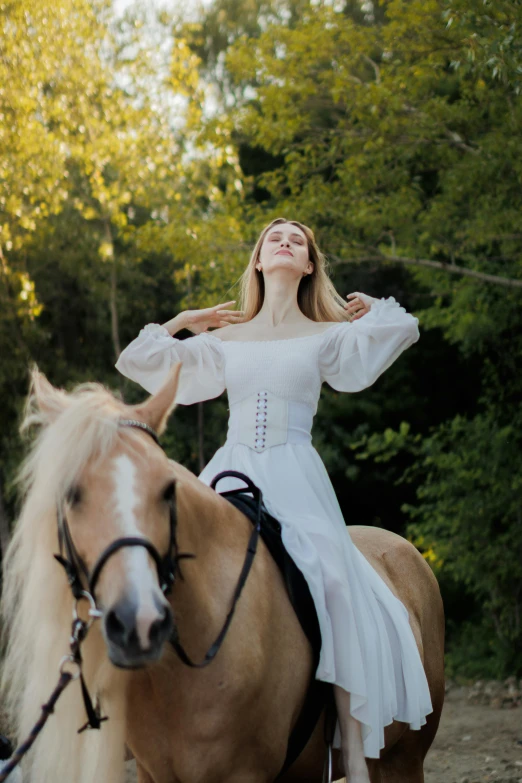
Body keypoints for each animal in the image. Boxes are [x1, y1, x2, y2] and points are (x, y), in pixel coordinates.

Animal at [1, 368, 442, 783]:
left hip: (404, 760)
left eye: (168, 490)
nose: (139, 622)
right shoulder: (151, 773)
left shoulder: (244, 773)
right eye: (71, 493)